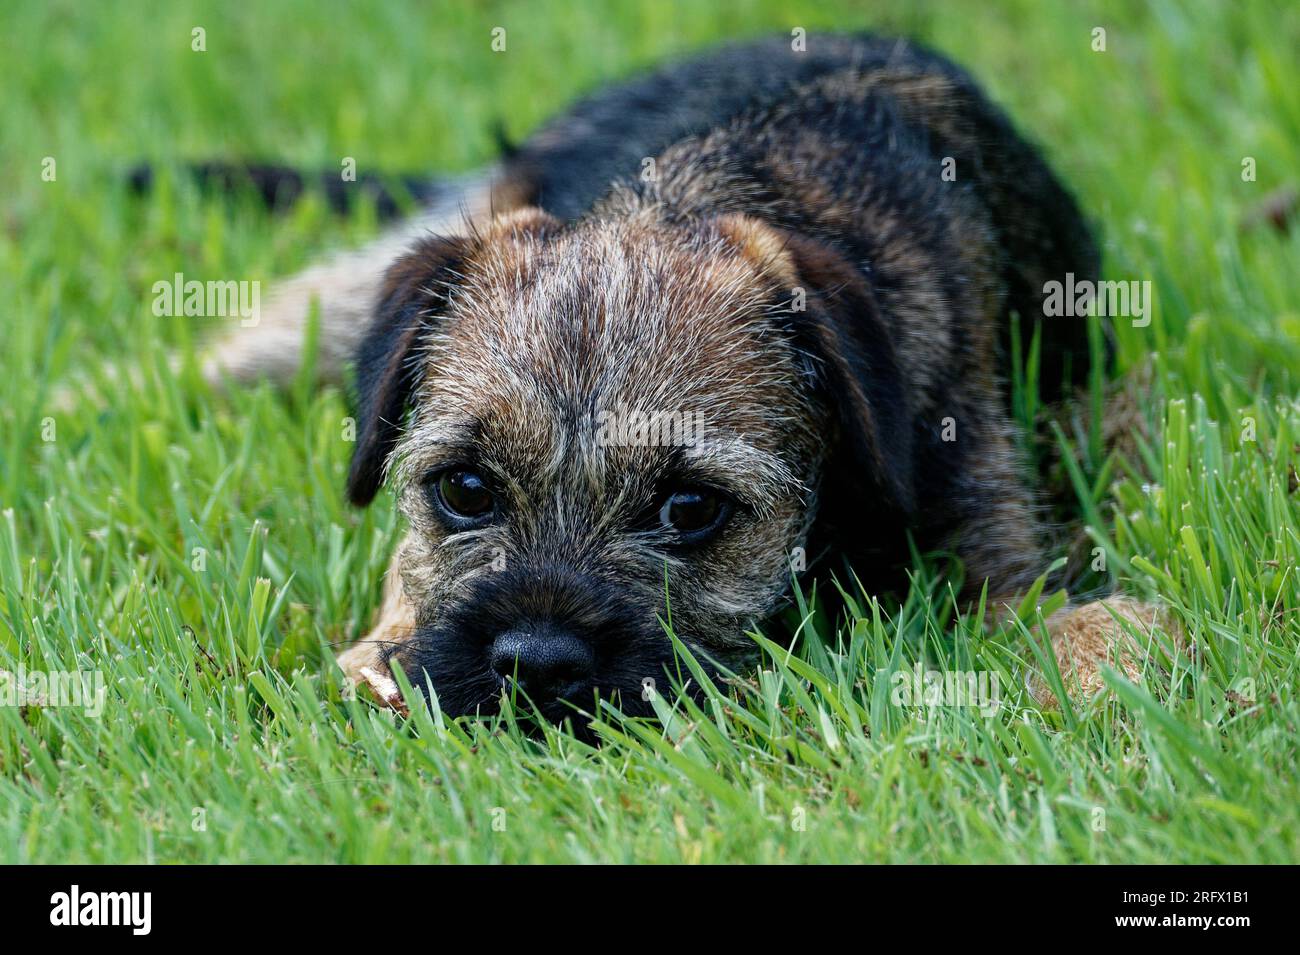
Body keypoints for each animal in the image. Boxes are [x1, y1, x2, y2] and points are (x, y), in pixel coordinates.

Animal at [192, 35, 1180, 722]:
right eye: (464, 490)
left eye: (692, 508)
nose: (537, 662)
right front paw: (387, 654)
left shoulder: (999, 562)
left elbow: (1079, 624)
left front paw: (1106, 690)